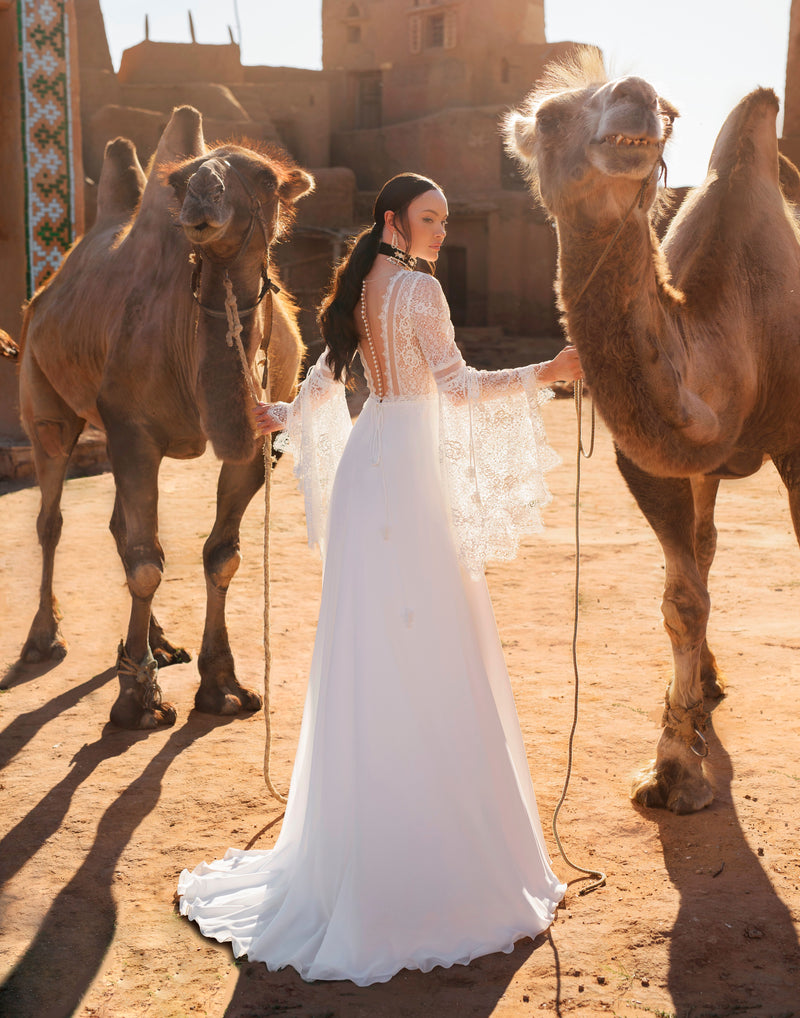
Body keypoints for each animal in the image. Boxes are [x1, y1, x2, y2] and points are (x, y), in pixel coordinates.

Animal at [17, 107, 311, 728]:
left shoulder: (261, 439)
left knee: (118, 526)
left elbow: (221, 556)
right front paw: (137, 702)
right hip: (45, 402)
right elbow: (147, 565)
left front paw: (223, 687)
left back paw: (157, 643)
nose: (201, 193)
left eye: (266, 178)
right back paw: (44, 638)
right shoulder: (132, 430)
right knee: (53, 517)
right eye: (179, 182)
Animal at [504, 49, 800, 810]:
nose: (636, 95)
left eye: (665, 108)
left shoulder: (797, 447)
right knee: (706, 547)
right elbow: (681, 600)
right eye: (550, 115)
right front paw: (672, 766)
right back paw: (708, 684)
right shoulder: (648, 464)